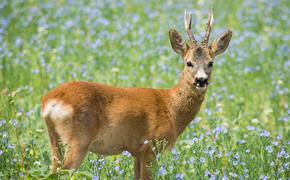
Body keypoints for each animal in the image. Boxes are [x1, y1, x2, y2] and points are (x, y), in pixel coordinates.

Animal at [41, 10, 231, 180]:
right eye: (188, 63)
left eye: (211, 63)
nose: (201, 80)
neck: (171, 108)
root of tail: (50, 100)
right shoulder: (150, 147)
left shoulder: (136, 152)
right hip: (78, 139)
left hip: (54, 138)